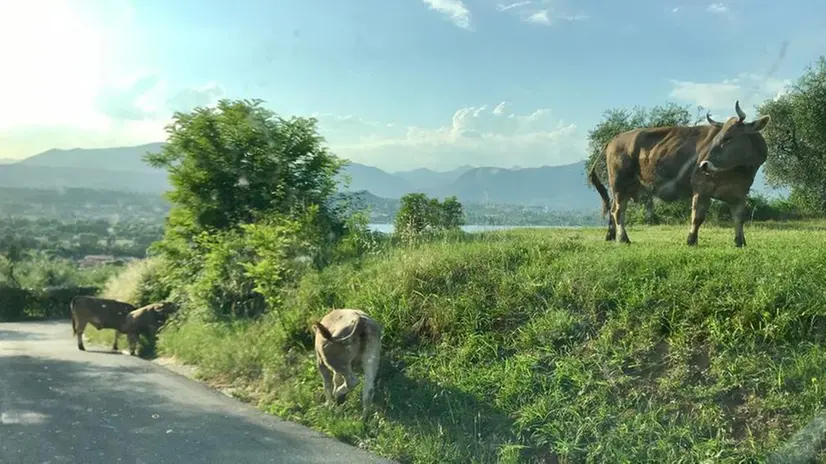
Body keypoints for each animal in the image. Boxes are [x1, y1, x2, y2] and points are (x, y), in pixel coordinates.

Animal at [588, 100, 768, 248]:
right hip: (619, 184)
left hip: (627, 188)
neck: (737, 172)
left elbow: (739, 218)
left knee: (613, 209)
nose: (703, 164)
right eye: (717, 138)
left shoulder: (740, 194)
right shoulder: (701, 188)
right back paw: (623, 238)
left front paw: (740, 242)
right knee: (618, 211)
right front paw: (691, 240)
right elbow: (697, 217)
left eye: (728, 138)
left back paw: (612, 236)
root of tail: (615, 138)